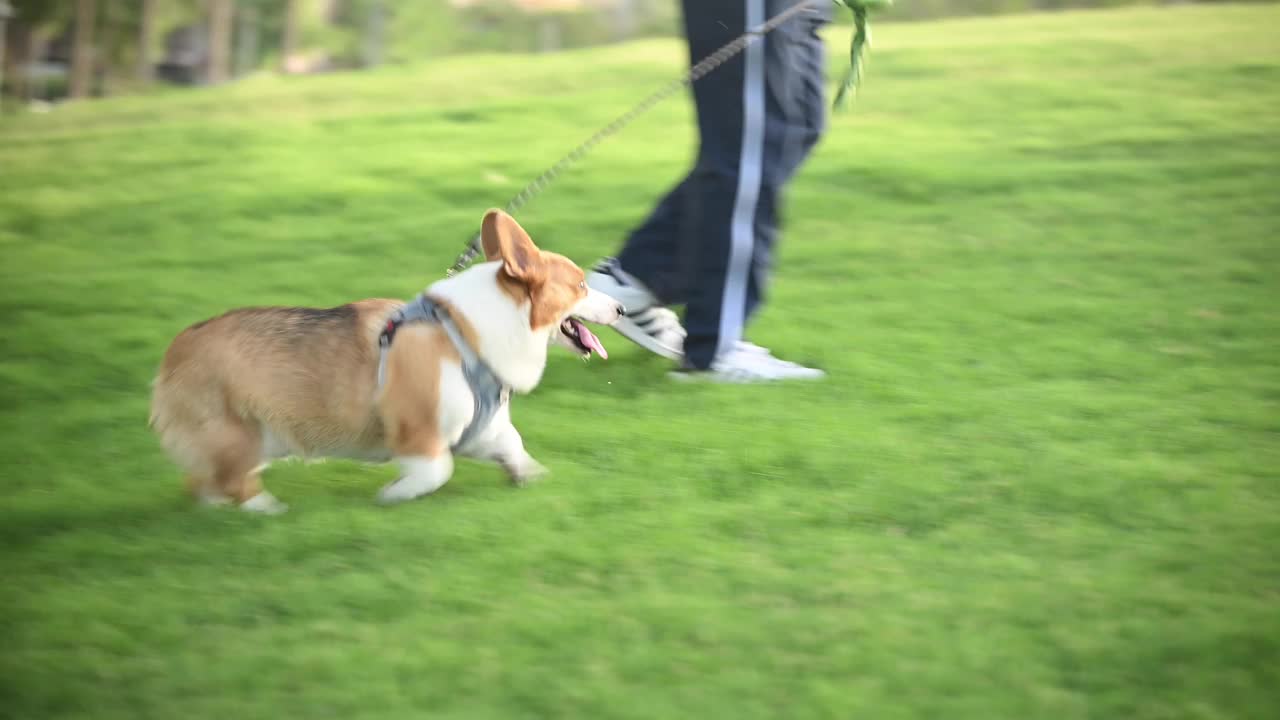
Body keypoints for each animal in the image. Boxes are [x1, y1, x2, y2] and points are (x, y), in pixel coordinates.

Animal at [149, 207, 624, 509]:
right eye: (581, 285)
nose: (620, 309)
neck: (466, 332)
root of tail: (172, 353)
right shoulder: (418, 433)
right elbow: (438, 469)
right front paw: (392, 496)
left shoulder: (483, 428)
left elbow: (514, 447)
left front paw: (533, 479)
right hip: (239, 436)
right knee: (232, 483)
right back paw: (268, 511)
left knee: (206, 484)